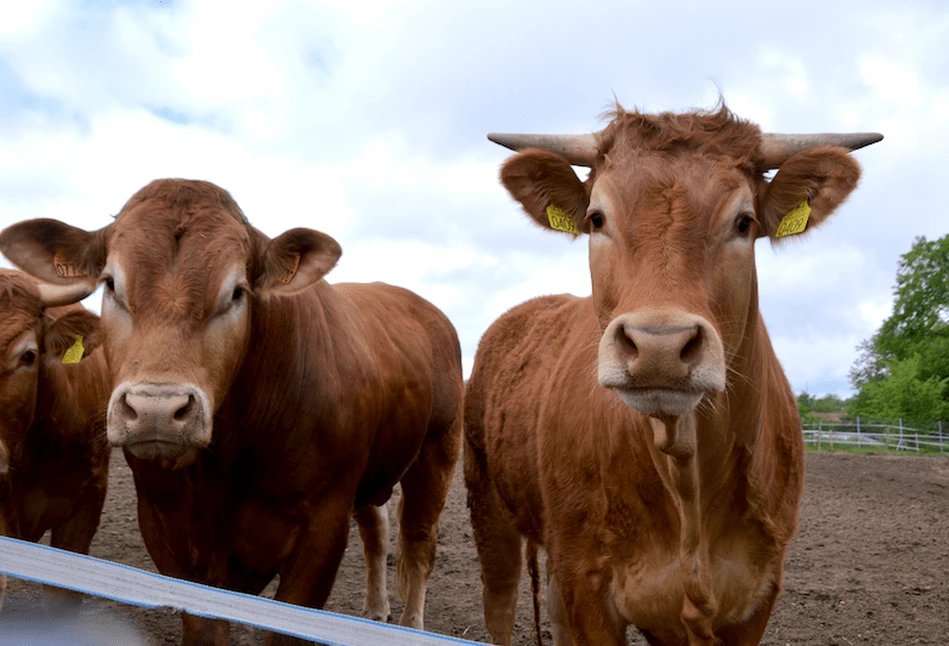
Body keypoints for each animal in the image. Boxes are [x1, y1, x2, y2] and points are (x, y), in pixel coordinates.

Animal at [466, 104, 880, 644]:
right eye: (597, 218)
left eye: (743, 222)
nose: (658, 346)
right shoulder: (588, 580)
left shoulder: (757, 592)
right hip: (488, 504)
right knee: (497, 600)